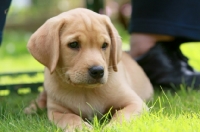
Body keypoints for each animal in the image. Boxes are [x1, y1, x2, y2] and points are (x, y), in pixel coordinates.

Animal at [25, 8, 153, 131]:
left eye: (105, 45)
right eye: (73, 44)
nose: (98, 71)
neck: (85, 90)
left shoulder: (135, 103)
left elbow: (121, 115)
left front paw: (113, 127)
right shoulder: (57, 111)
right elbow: (71, 117)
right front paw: (80, 128)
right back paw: (31, 109)